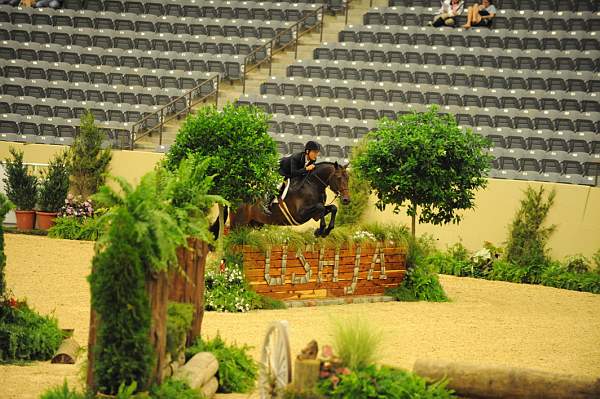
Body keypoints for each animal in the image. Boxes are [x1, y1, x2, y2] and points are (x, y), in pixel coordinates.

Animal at [212, 162, 350, 239]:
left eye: (348, 177)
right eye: (338, 178)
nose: (346, 200)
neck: (313, 185)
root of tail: (234, 197)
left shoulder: (313, 213)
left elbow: (332, 208)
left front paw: (325, 231)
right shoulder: (300, 214)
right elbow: (321, 208)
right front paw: (320, 231)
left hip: (253, 224)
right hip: (239, 224)